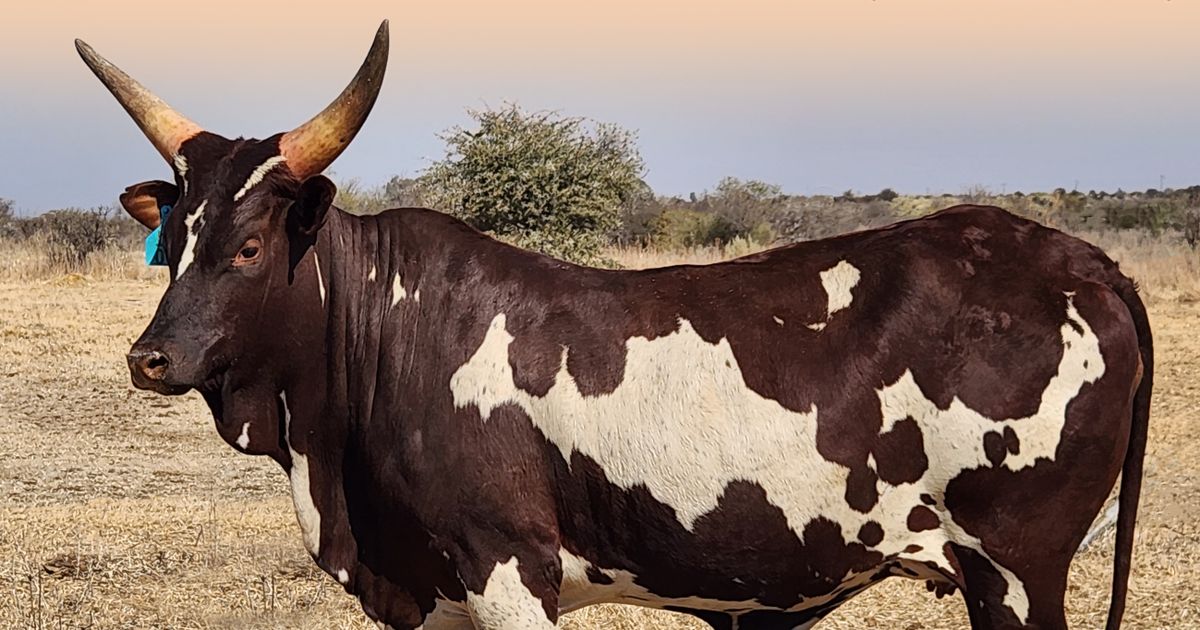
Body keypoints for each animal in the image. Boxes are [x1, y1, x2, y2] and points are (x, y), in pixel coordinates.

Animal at [78, 21, 1152, 630]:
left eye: (251, 246)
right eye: (175, 239)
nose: (150, 358)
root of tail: (1076, 260)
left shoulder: (511, 572)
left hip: (1016, 572)